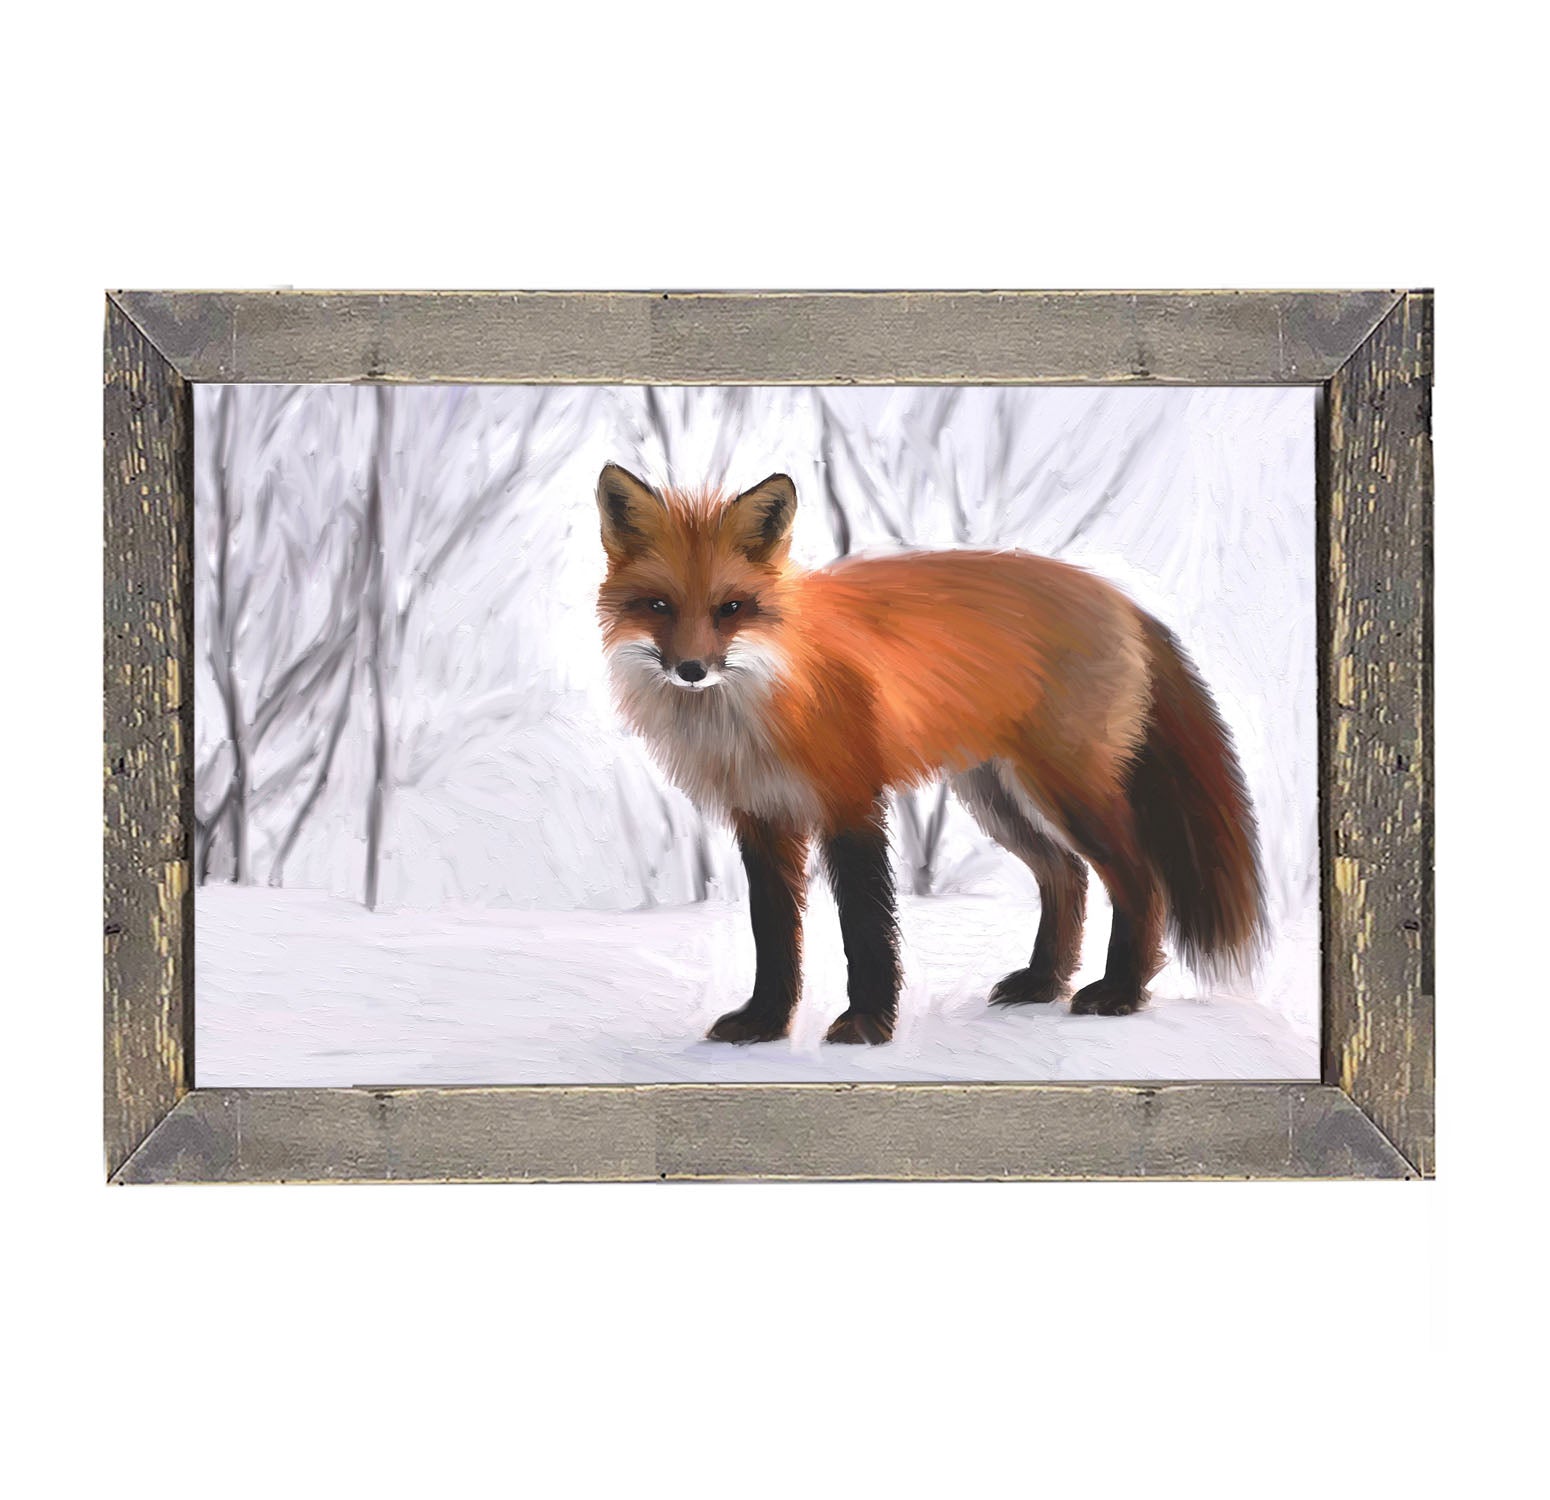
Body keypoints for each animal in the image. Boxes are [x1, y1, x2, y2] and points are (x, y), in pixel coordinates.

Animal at [595, 462, 1264, 1045]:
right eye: (659, 606)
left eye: (730, 608)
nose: (691, 670)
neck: (762, 703)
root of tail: (1119, 597)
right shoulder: (761, 818)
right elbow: (774, 933)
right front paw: (764, 1023)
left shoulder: (851, 803)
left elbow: (865, 927)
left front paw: (866, 1025)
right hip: (996, 798)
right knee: (1065, 874)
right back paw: (1043, 983)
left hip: (1069, 792)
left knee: (1138, 879)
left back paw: (1120, 992)